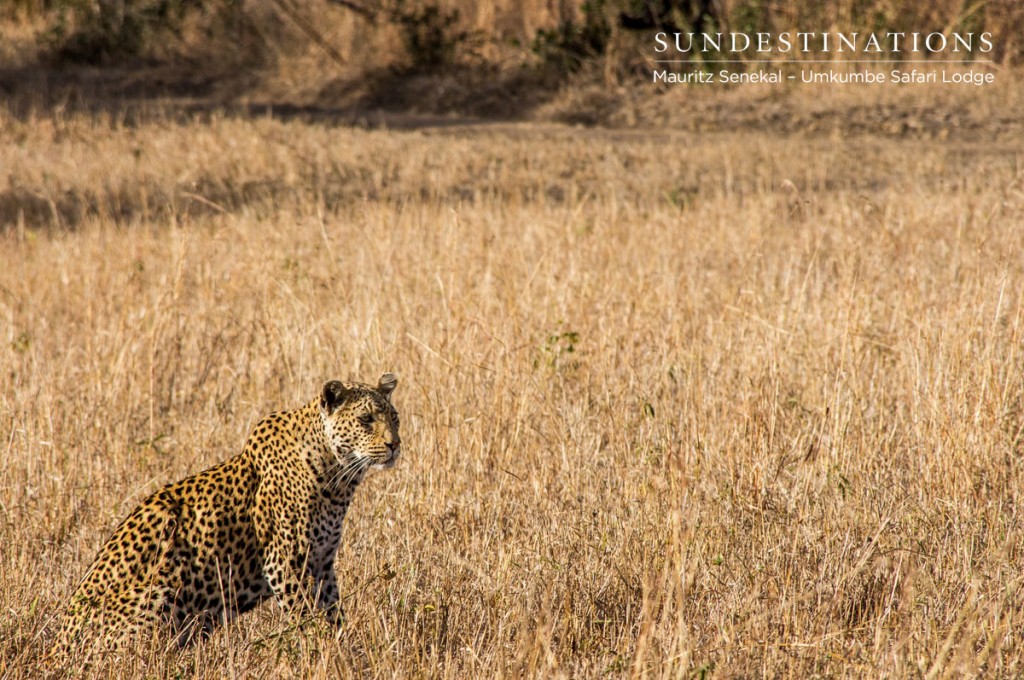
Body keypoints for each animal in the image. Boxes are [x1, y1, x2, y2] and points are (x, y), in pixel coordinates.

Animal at [52, 372, 399, 655]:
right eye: (366, 419)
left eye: (394, 418)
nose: (394, 444)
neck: (338, 477)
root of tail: (55, 650)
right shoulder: (285, 562)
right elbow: (306, 619)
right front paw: (321, 653)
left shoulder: (322, 563)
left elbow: (333, 614)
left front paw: (345, 651)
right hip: (160, 588)